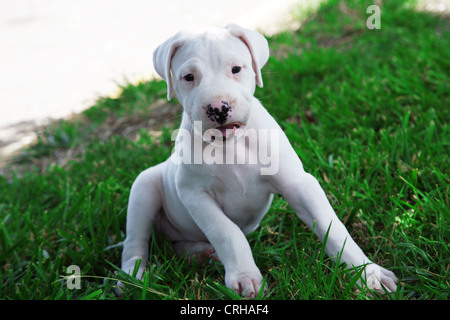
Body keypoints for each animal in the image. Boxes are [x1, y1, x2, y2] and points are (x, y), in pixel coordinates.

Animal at [121, 23, 400, 298]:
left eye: (236, 69)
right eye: (188, 77)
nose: (218, 108)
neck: (231, 146)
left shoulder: (298, 184)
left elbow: (332, 227)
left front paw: (367, 274)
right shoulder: (194, 194)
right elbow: (227, 232)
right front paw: (245, 278)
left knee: (177, 246)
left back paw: (200, 255)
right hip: (143, 188)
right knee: (134, 243)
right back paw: (132, 280)